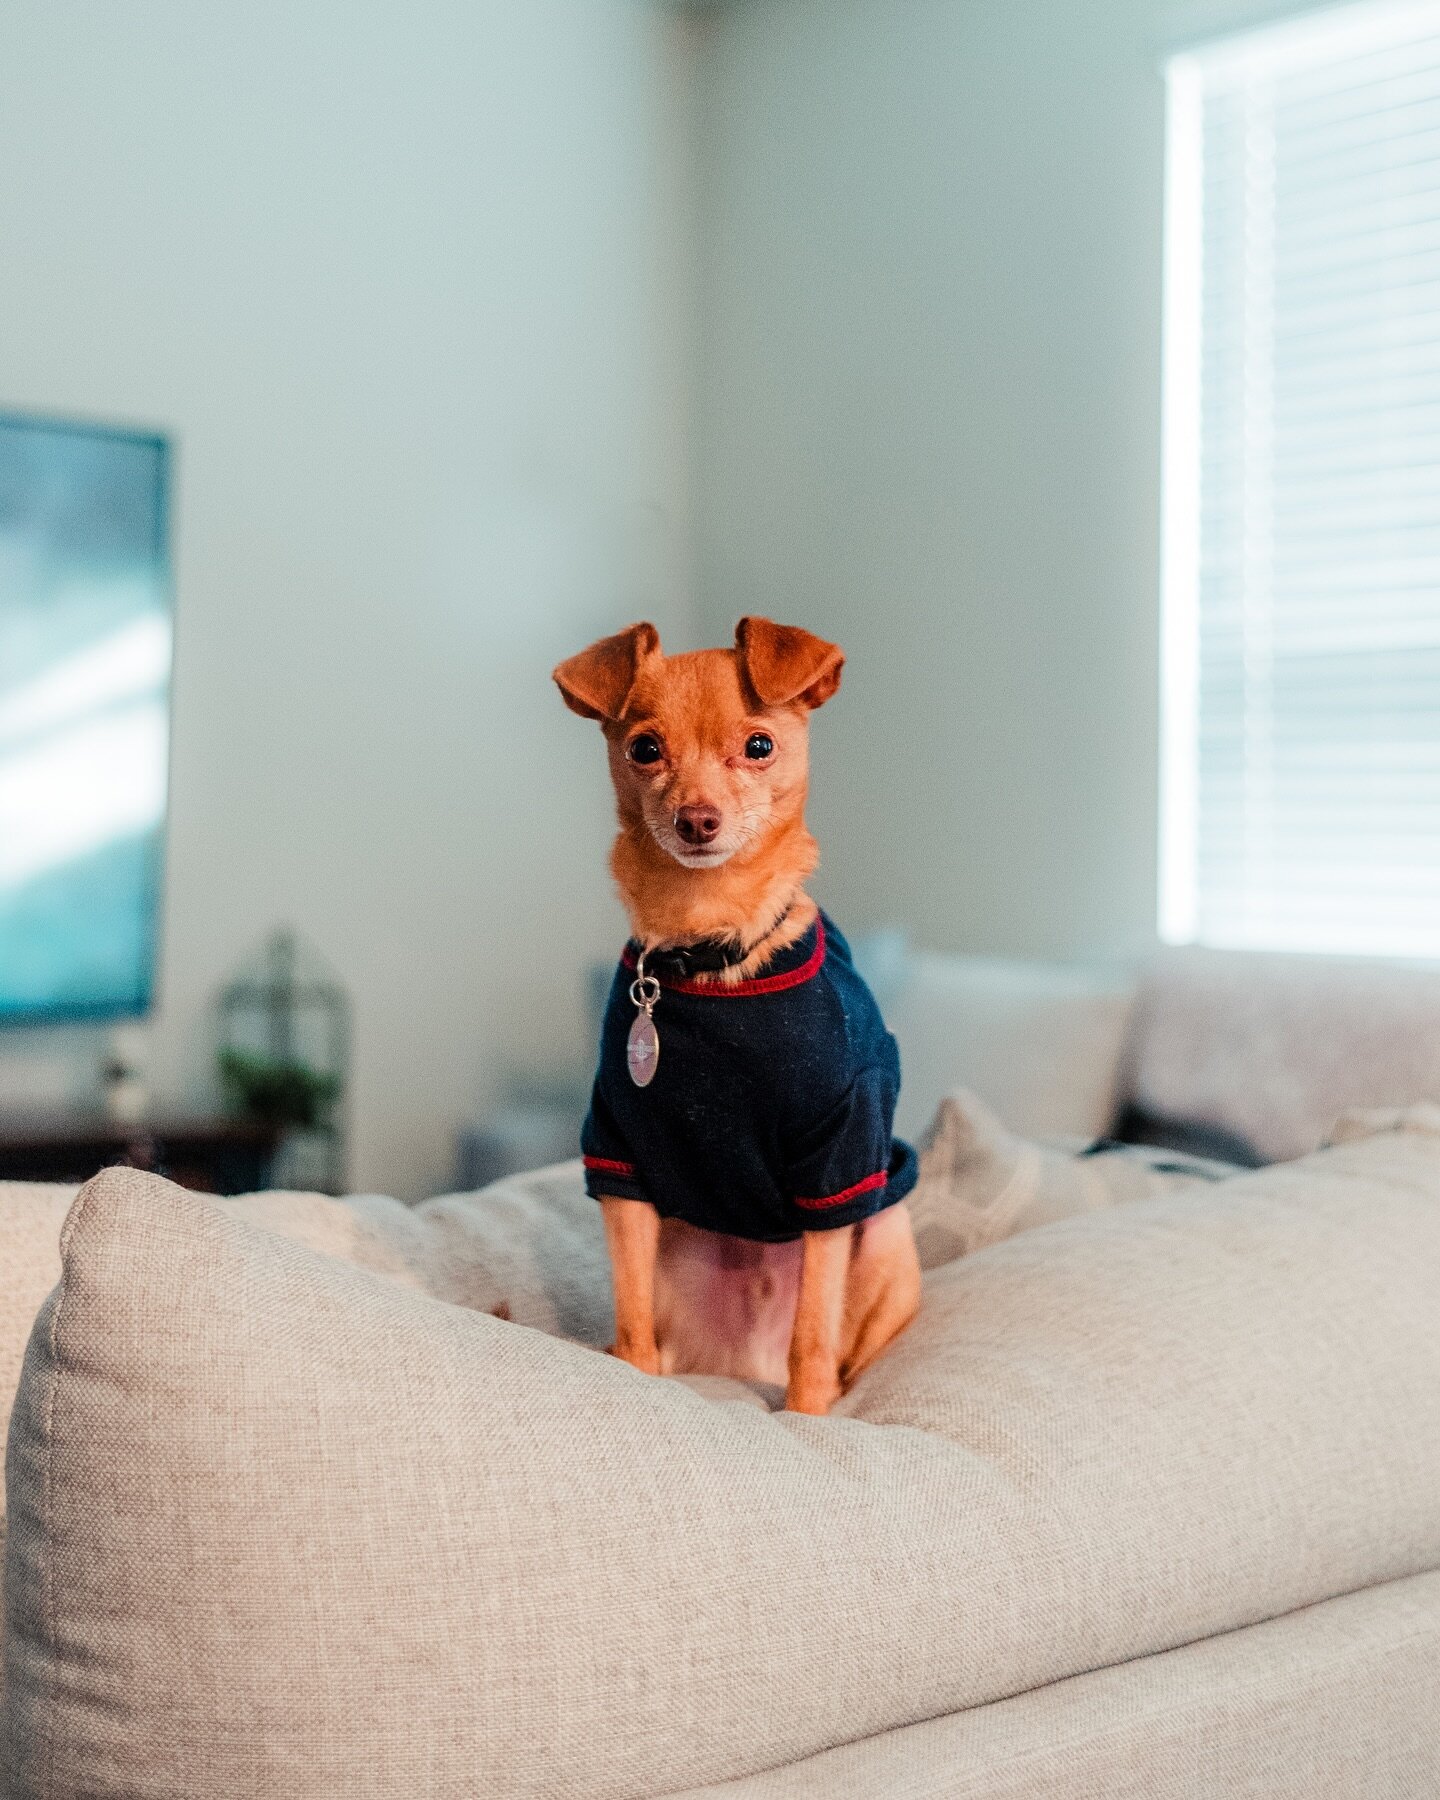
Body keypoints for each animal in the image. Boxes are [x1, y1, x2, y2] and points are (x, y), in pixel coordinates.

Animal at [554, 619, 921, 1418]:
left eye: (759, 746)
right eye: (644, 749)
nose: (697, 820)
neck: (709, 939)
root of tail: (735, 1363)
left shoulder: (836, 1166)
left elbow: (812, 1334)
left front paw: (808, 1419)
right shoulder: (620, 1160)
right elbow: (630, 1316)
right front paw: (631, 1378)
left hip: (885, 1233)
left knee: (840, 1350)